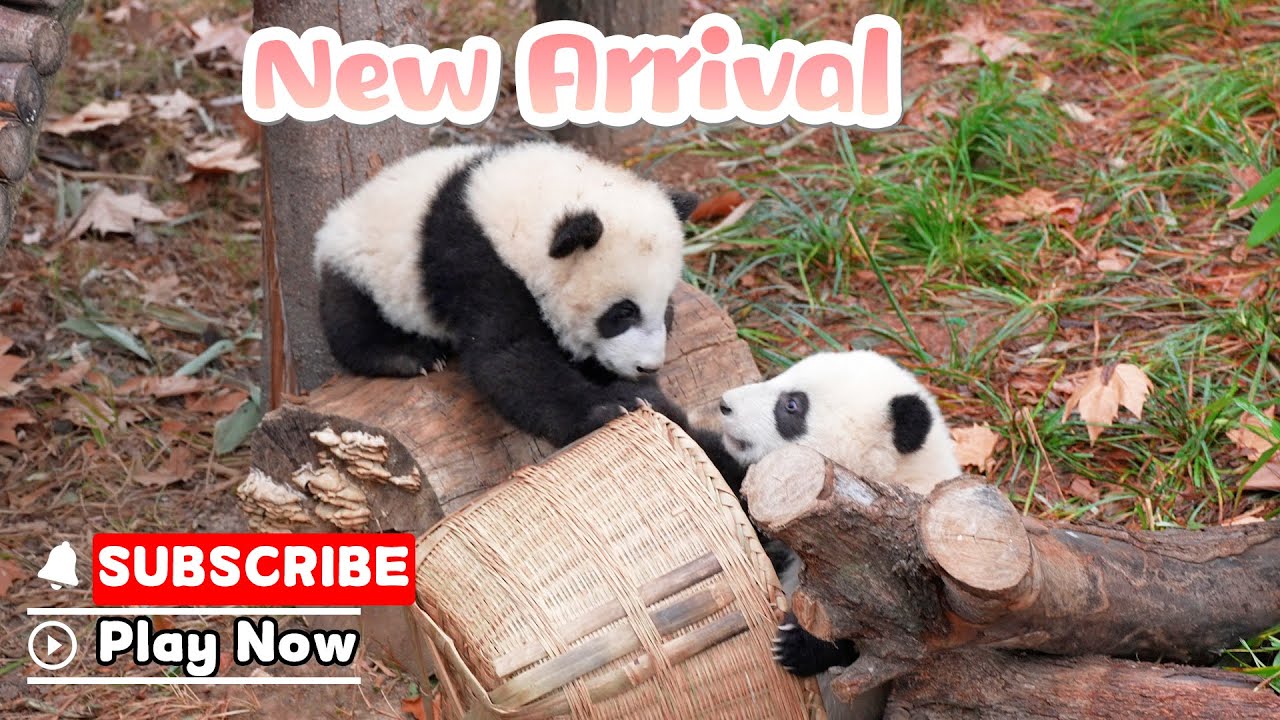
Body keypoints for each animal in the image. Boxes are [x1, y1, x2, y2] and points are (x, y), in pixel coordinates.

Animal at [312, 143, 701, 447]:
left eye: (666, 310)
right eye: (623, 312)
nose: (647, 366)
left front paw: (647, 399)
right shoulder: (480, 263)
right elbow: (509, 356)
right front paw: (603, 411)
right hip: (363, 265)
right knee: (352, 319)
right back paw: (408, 356)